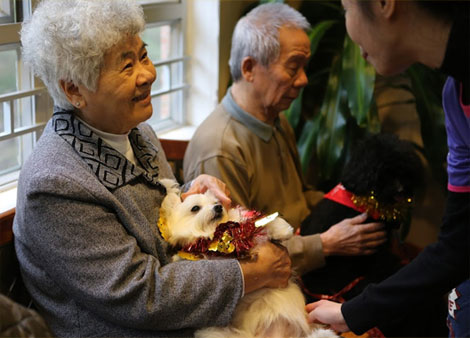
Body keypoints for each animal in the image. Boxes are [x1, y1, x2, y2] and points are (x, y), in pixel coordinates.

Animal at [160, 177, 336, 338]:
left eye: (217, 202)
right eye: (195, 208)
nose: (218, 207)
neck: (218, 236)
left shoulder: (247, 227)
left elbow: (263, 223)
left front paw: (283, 230)